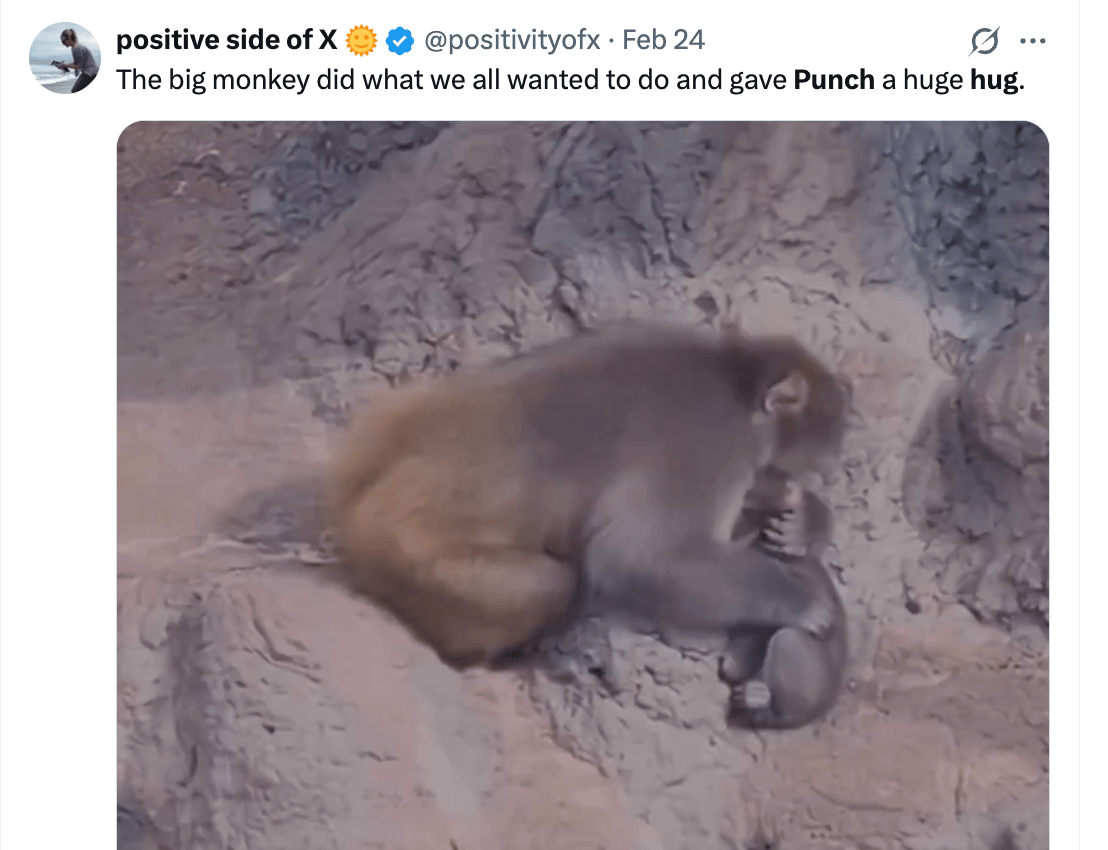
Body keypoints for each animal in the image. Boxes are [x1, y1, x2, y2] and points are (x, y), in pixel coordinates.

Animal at [327, 321, 849, 670]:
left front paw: (803, 519)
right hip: (413, 558)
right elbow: (642, 555)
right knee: (555, 583)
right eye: (811, 456)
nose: (819, 476)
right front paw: (800, 599)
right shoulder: (708, 440)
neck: (731, 378)